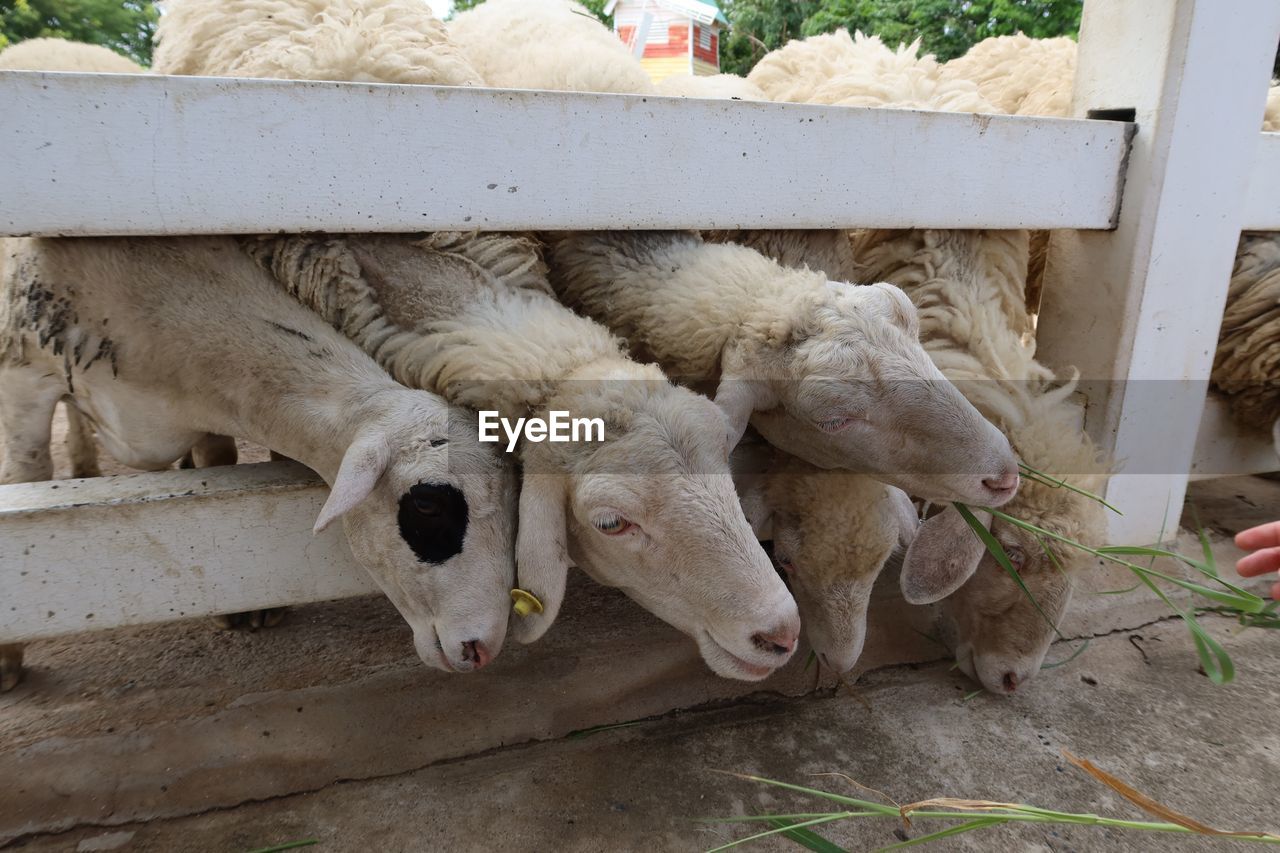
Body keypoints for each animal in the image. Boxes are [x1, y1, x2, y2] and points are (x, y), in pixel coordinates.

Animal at [0, 235, 519, 686]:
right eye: (428, 505)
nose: (482, 649)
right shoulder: (22, 375)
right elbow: (26, 474)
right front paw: (7, 658)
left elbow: (218, 456)